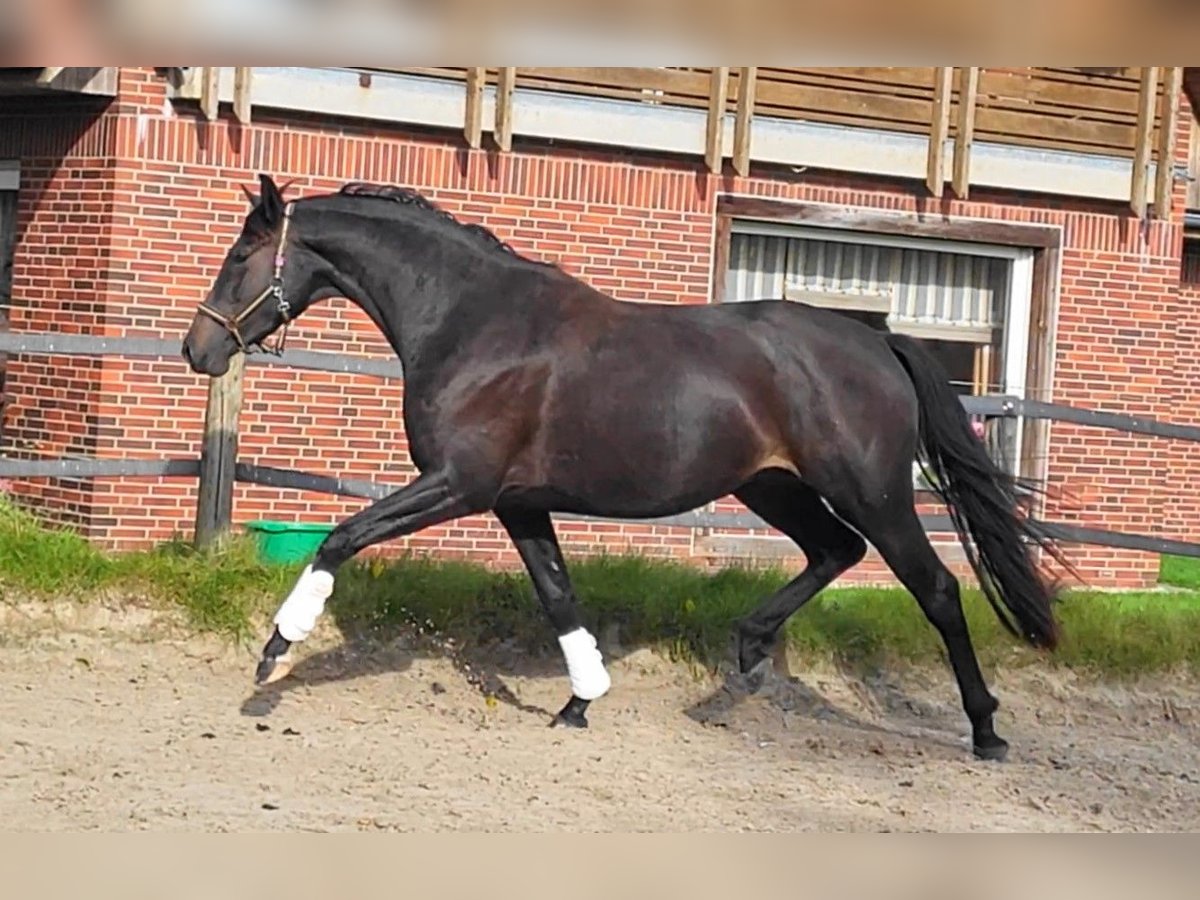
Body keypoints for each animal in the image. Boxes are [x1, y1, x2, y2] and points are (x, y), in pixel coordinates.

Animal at [182, 173, 1069, 761]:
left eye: (239, 256)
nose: (200, 349)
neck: (472, 322)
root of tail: (877, 342)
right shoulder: (517, 502)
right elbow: (557, 594)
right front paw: (580, 701)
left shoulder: (459, 484)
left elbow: (341, 536)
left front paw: (274, 651)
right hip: (771, 485)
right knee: (833, 551)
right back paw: (744, 659)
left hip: (874, 491)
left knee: (936, 588)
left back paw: (986, 729)